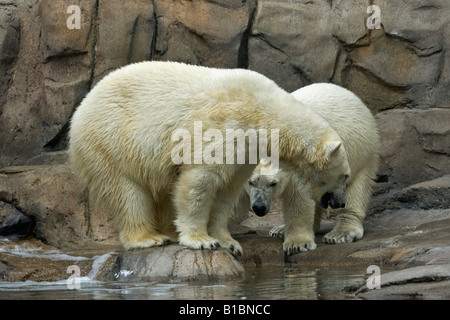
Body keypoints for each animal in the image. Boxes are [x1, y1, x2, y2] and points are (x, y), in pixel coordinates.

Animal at [239, 83, 380, 245]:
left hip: (359, 149)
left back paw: (340, 233)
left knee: (356, 187)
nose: (259, 208)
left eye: (273, 183)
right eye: (250, 182)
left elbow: (299, 198)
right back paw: (280, 229)